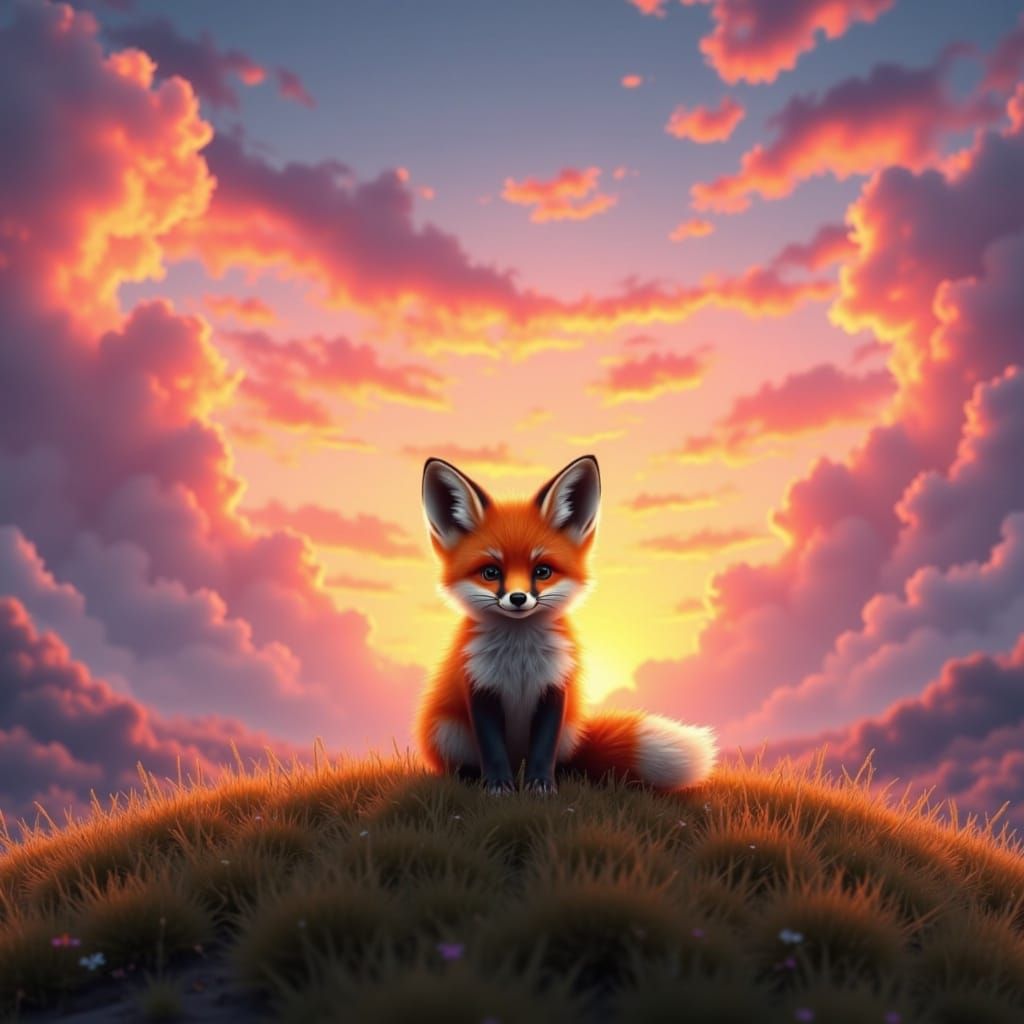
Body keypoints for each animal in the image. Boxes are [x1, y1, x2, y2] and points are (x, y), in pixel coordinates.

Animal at [416, 453, 717, 795]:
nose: (518, 598)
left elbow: (543, 749)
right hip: (447, 730)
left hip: (569, 732)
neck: (519, 659)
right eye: (491, 572)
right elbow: (491, 749)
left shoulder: (555, 687)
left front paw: (541, 788)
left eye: (542, 571)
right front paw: (498, 788)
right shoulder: (479, 687)